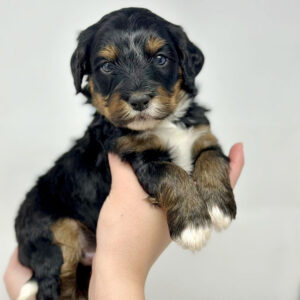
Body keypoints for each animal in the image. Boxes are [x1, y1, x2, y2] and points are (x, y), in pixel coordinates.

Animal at [15, 6, 236, 300]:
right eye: (107, 66)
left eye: (160, 59)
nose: (139, 101)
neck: (163, 124)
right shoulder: (139, 157)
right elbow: (173, 173)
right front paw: (193, 227)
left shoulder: (202, 135)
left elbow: (211, 158)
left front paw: (219, 208)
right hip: (54, 236)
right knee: (54, 282)